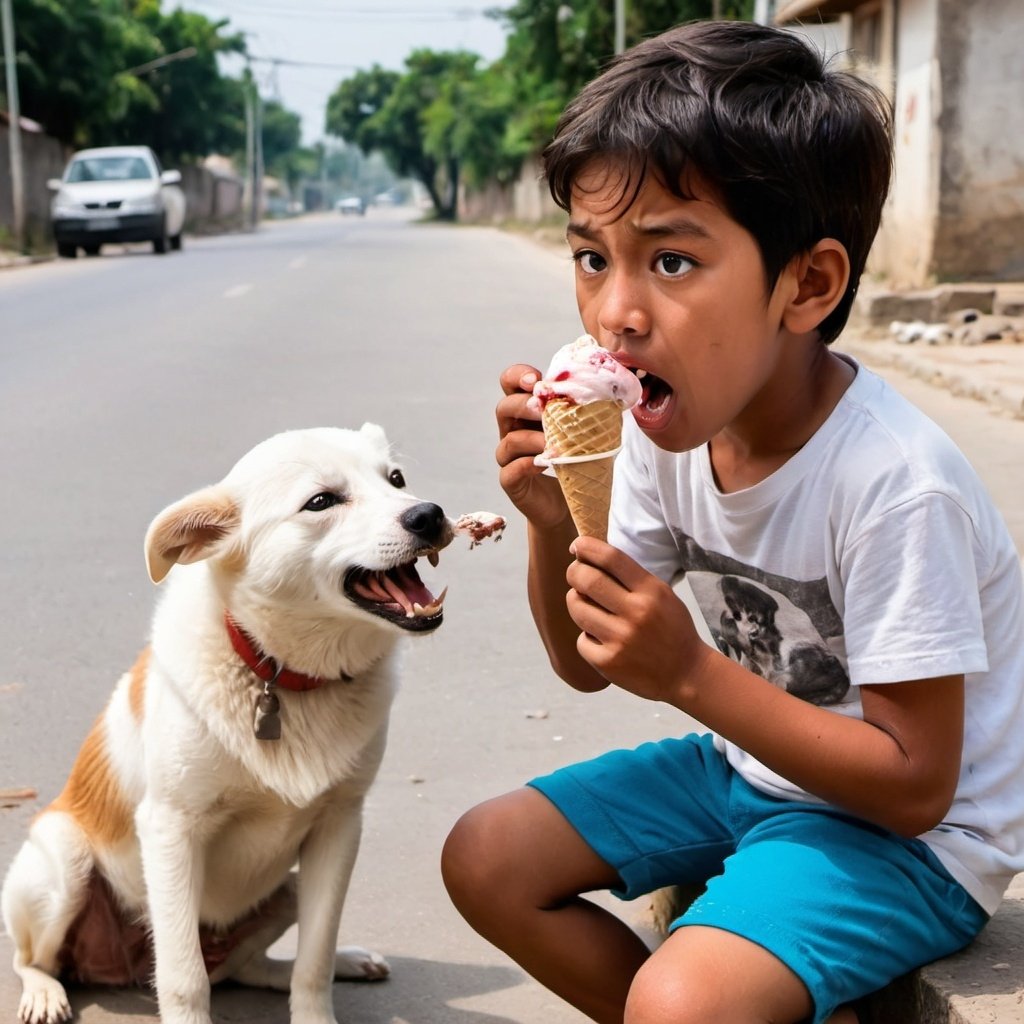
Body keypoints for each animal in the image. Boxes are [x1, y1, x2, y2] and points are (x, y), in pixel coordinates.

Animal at [3, 423, 460, 1024]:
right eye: (321, 502)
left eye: (397, 479)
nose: (428, 514)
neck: (281, 677)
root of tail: (119, 971)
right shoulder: (171, 829)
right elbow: (183, 978)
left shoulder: (338, 827)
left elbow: (313, 962)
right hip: (63, 867)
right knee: (36, 959)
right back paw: (44, 993)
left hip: (286, 890)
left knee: (250, 969)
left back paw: (347, 960)